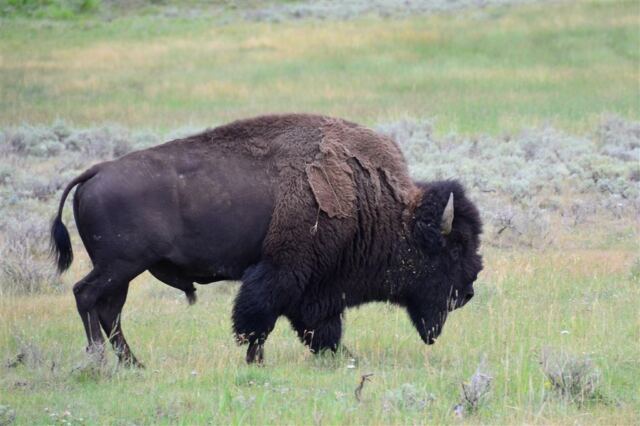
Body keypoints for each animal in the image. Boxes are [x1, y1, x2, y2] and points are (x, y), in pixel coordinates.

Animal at [51, 114, 482, 365]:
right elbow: (259, 318)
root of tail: (96, 172)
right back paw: (99, 361)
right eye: (453, 248)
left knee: (110, 310)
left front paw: (343, 357)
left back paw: (133, 364)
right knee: (86, 296)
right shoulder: (283, 271)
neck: (371, 200)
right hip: (120, 265)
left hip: (123, 271)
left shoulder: (316, 288)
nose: (468, 292)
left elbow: (317, 326)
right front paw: (255, 361)